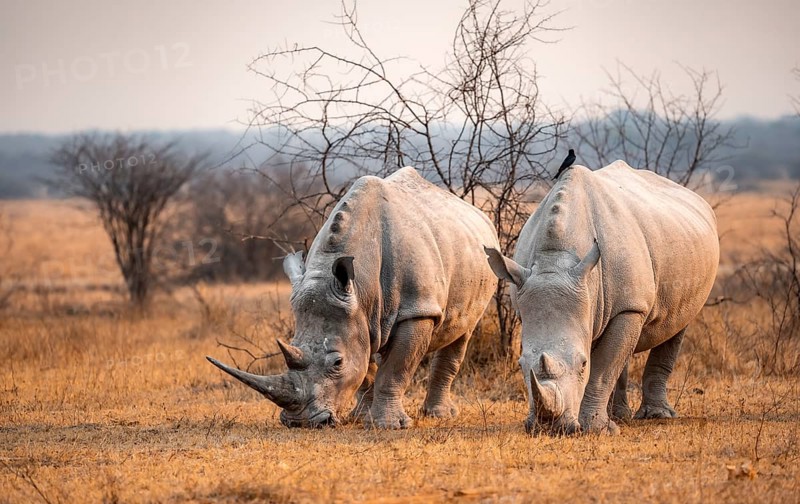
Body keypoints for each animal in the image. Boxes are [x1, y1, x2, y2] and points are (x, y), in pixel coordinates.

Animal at [208, 167, 499, 428]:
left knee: (463, 331)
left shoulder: (416, 310)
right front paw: (359, 418)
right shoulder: (358, 312)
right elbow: (366, 366)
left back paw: (439, 416)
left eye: (337, 362)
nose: (300, 423)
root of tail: (480, 216)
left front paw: (389, 426)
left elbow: (396, 368)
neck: (363, 288)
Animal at [484, 161, 719, 435]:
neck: (555, 259)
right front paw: (602, 425)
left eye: (582, 364)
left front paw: (597, 429)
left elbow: (603, 369)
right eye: (520, 364)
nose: (549, 429)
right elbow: (611, 359)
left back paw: (655, 415)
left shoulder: (630, 308)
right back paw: (620, 416)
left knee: (676, 325)